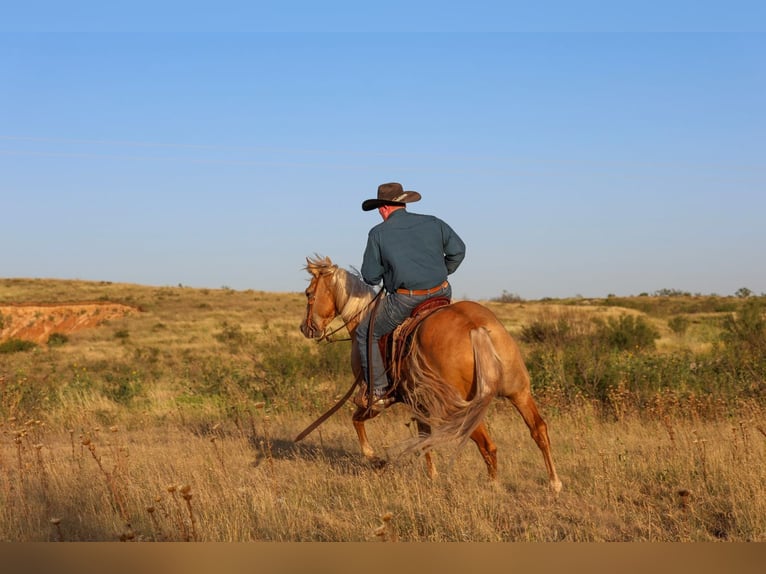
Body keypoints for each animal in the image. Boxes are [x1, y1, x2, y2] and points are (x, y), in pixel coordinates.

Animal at [299, 255, 562, 494]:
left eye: (309, 293)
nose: (306, 328)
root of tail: (476, 327)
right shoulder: (418, 404)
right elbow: (424, 439)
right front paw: (432, 476)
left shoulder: (375, 398)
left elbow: (357, 420)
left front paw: (375, 458)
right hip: (519, 392)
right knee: (539, 430)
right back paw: (554, 483)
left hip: (463, 408)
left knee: (489, 445)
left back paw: (493, 486)